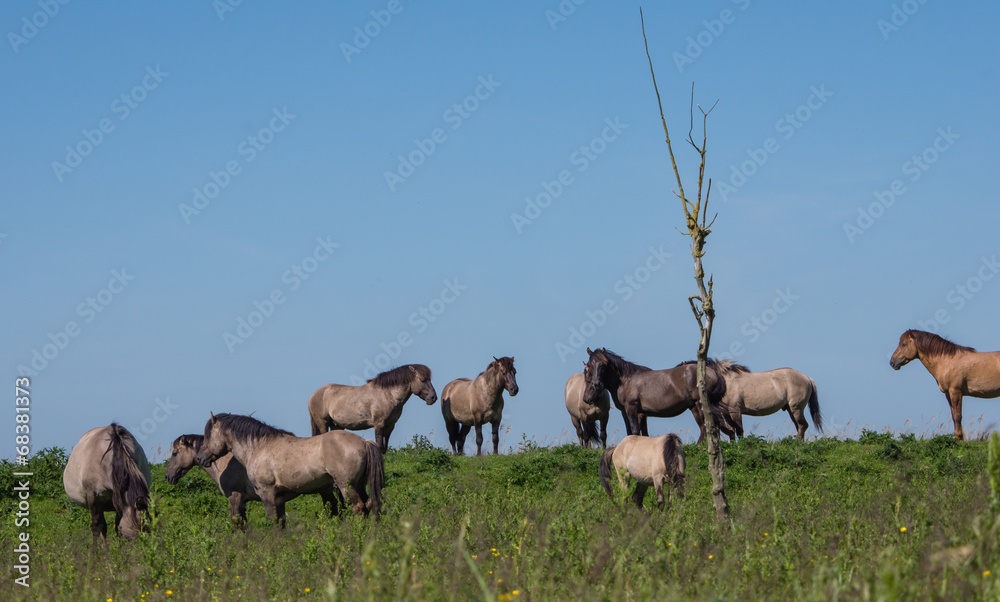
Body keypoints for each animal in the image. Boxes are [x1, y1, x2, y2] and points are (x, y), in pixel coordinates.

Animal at [195, 413, 384, 525]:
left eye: (208, 435)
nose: (199, 458)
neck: (258, 448)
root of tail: (364, 442)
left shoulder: (267, 493)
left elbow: (273, 520)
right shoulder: (279, 497)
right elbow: (281, 521)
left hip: (346, 486)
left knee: (358, 507)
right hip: (359, 484)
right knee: (368, 504)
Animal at [308, 364, 437, 452]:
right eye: (423, 380)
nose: (433, 398)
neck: (387, 395)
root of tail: (313, 395)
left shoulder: (390, 425)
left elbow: (384, 447)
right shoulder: (379, 424)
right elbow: (379, 445)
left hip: (336, 425)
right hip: (323, 423)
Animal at [582, 347, 735, 442]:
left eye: (603, 364)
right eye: (590, 365)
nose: (596, 384)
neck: (626, 380)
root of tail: (713, 371)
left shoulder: (632, 409)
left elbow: (636, 431)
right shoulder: (626, 411)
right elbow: (631, 432)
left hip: (701, 404)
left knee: (712, 426)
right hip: (694, 407)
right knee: (707, 427)